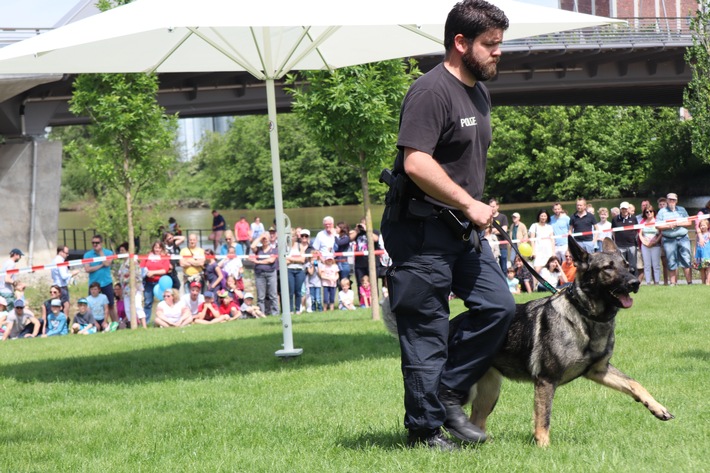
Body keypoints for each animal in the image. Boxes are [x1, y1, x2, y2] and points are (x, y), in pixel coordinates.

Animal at [386, 236, 676, 446]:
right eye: (608, 269)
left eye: (627, 266)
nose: (635, 282)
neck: (585, 316)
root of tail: (449, 326)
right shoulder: (546, 381)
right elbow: (543, 419)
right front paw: (544, 448)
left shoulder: (598, 371)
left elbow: (635, 384)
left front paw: (658, 408)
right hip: (462, 388)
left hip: (489, 393)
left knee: (476, 421)